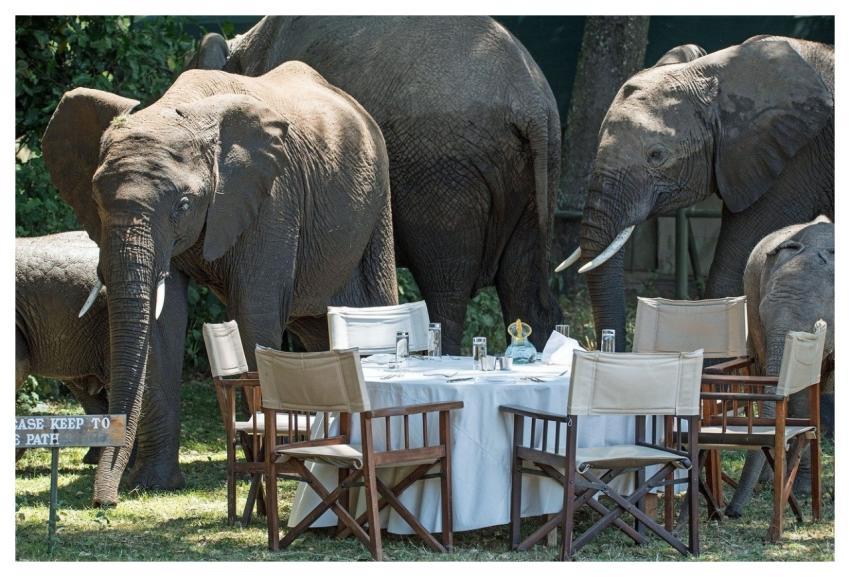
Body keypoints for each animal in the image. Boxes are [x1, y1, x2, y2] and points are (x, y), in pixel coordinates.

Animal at [41, 60, 397, 505]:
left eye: (182, 205)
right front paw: (153, 484)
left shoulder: (274, 198)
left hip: (377, 203)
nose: (105, 501)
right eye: (95, 200)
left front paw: (272, 465)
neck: (182, 110)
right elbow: (164, 320)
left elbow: (253, 311)